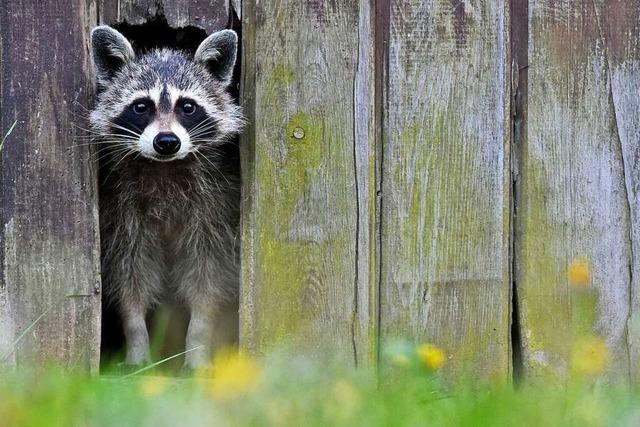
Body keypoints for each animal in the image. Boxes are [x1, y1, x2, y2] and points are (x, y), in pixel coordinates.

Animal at [87, 25, 242, 370]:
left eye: (188, 106)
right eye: (141, 106)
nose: (167, 141)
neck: (164, 166)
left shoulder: (216, 209)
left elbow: (208, 276)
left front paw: (198, 338)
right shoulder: (121, 211)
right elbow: (129, 274)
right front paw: (136, 336)